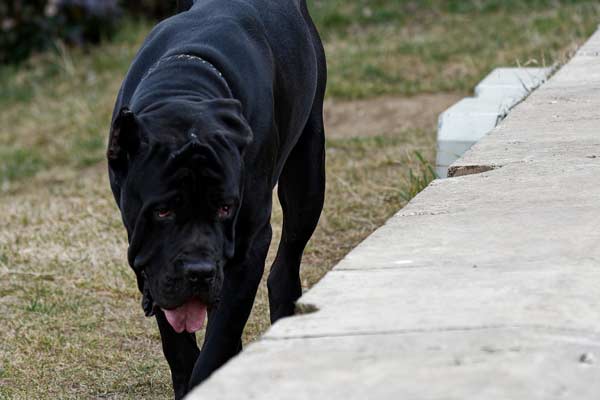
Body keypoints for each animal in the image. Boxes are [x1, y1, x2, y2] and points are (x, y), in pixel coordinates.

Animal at [105, 1, 326, 398]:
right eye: (162, 211)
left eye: (225, 208)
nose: (199, 271)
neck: (185, 88)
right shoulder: (149, 255)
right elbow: (177, 343)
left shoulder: (249, 244)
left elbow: (219, 337)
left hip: (307, 176)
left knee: (286, 261)